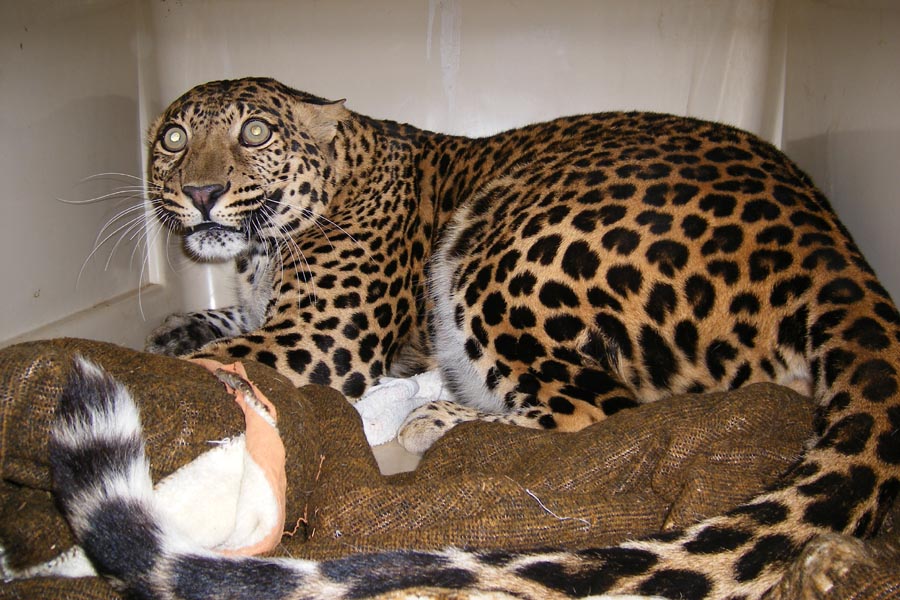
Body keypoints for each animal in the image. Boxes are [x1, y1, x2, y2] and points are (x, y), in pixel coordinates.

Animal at [52, 77, 899, 599]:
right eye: (170, 139)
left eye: (255, 132)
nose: (198, 192)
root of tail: (833, 249)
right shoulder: (272, 314)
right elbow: (212, 327)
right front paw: (171, 327)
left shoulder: (320, 340)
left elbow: (210, 362)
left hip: (500, 242)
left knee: (605, 415)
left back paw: (436, 420)